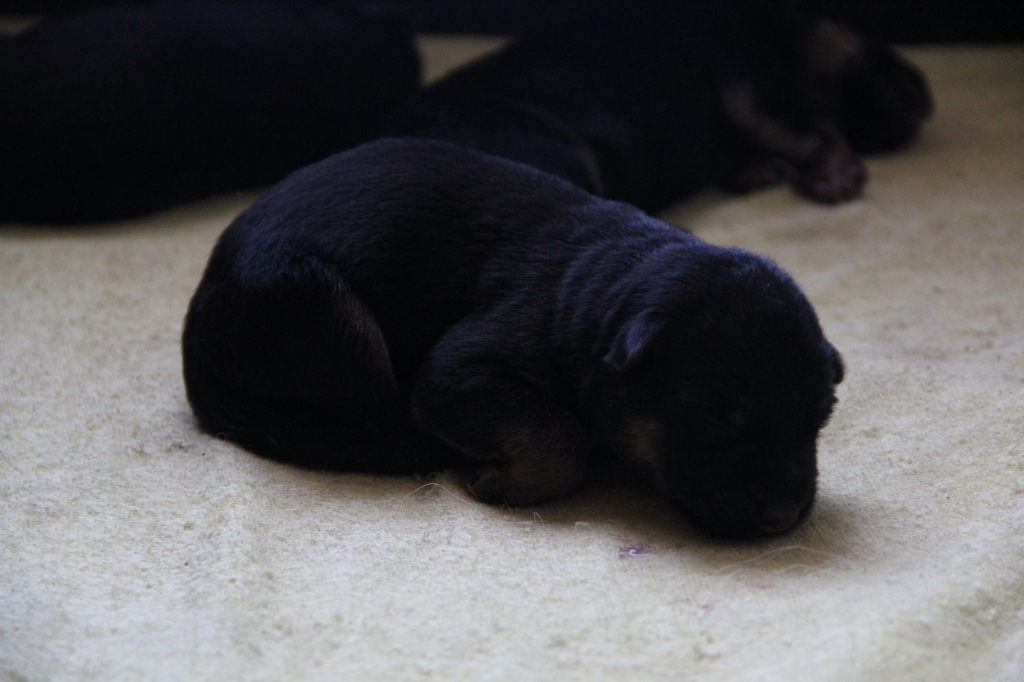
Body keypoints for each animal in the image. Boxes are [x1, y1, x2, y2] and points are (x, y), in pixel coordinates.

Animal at [182, 138, 845, 539]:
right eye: (721, 420)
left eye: (821, 418)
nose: (786, 515)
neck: (605, 288)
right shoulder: (464, 369)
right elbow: (559, 437)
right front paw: (496, 481)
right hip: (323, 308)